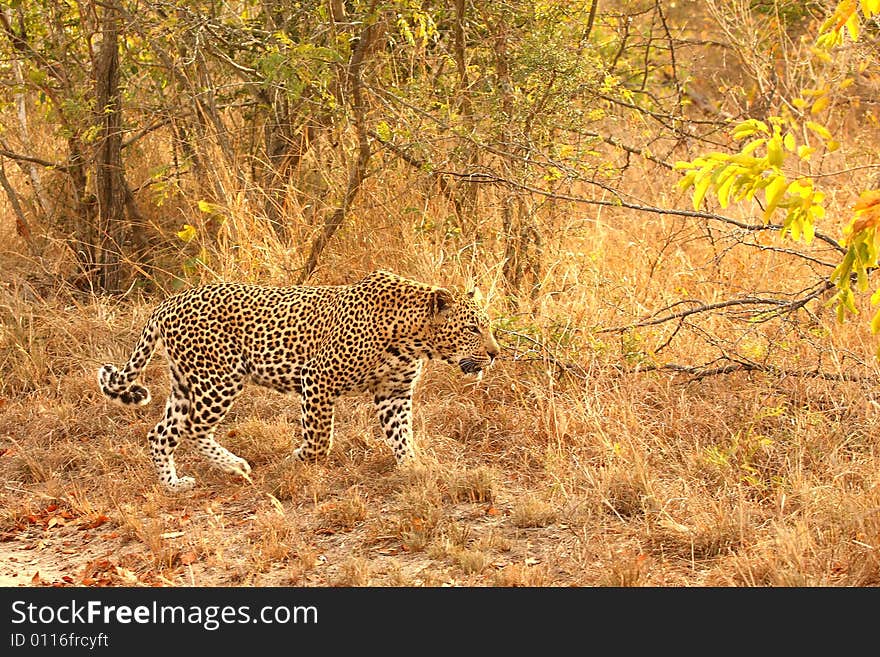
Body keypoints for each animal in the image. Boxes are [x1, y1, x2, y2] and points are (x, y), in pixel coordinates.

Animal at [97, 270, 498, 490]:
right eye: (472, 329)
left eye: (488, 326)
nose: (495, 353)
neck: (412, 337)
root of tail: (168, 302)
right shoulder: (318, 379)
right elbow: (321, 439)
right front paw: (298, 459)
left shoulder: (394, 392)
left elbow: (402, 435)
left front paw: (413, 467)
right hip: (219, 378)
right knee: (193, 429)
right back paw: (235, 465)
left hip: (187, 382)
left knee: (161, 432)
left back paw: (173, 485)